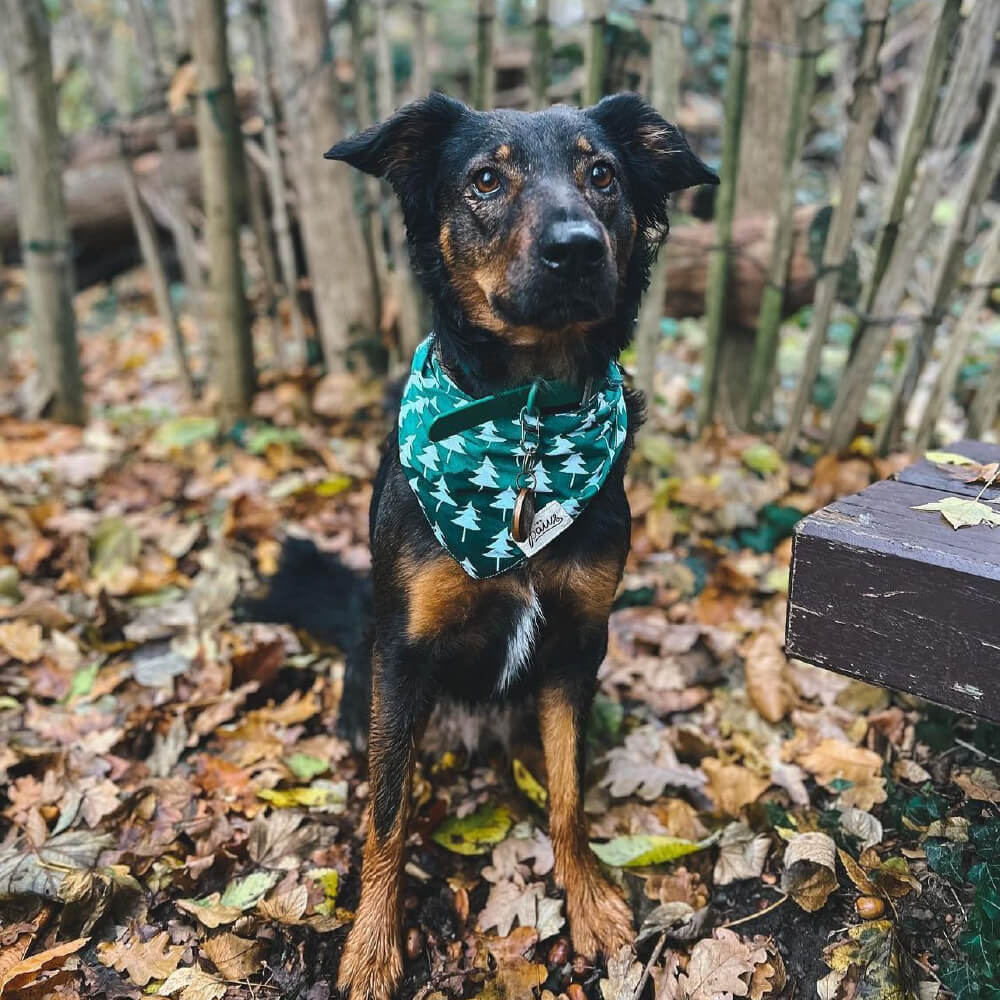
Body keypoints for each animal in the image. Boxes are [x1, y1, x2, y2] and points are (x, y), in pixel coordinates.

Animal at [316, 94, 716, 1000]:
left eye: (601, 174)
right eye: (485, 181)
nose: (577, 247)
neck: (528, 427)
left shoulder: (577, 642)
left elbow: (568, 795)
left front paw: (590, 902)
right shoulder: (404, 649)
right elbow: (386, 814)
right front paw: (372, 945)